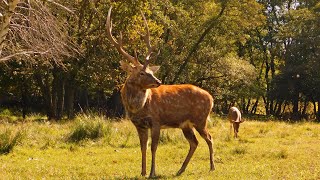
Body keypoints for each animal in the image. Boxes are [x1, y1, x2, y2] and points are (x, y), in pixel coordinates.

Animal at [107, 6, 215, 177]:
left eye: (151, 70)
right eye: (141, 73)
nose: (158, 82)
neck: (138, 108)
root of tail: (212, 98)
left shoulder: (156, 120)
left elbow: (153, 147)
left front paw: (152, 173)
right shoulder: (139, 125)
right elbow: (143, 147)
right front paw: (142, 172)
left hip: (201, 119)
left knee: (209, 138)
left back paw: (211, 167)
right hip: (186, 124)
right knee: (194, 142)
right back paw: (180, 170)